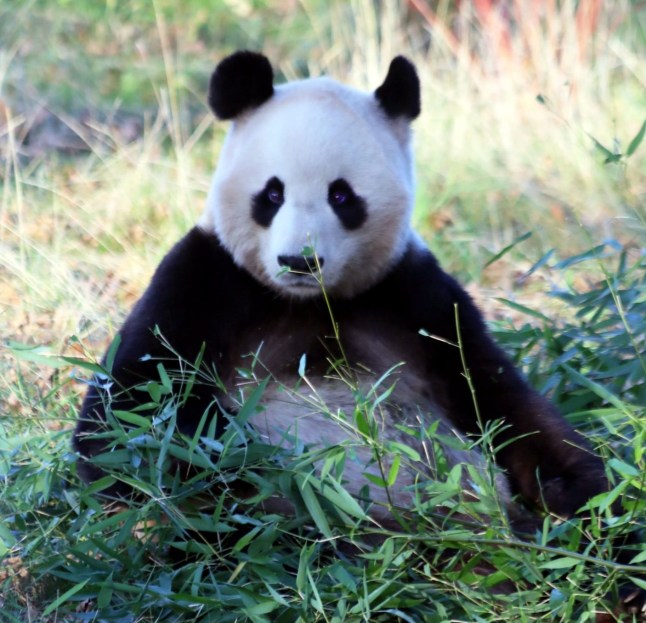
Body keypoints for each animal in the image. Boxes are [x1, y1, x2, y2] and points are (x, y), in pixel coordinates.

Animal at [73, 51, 612, 532]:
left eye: (342, 195)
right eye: (272, 193)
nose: (299, 261)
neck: (311, 301)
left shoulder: (416, 297)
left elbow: (498, 398)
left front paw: (579, 491)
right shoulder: (203, 282)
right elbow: (127, 425)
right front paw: (266, 457)